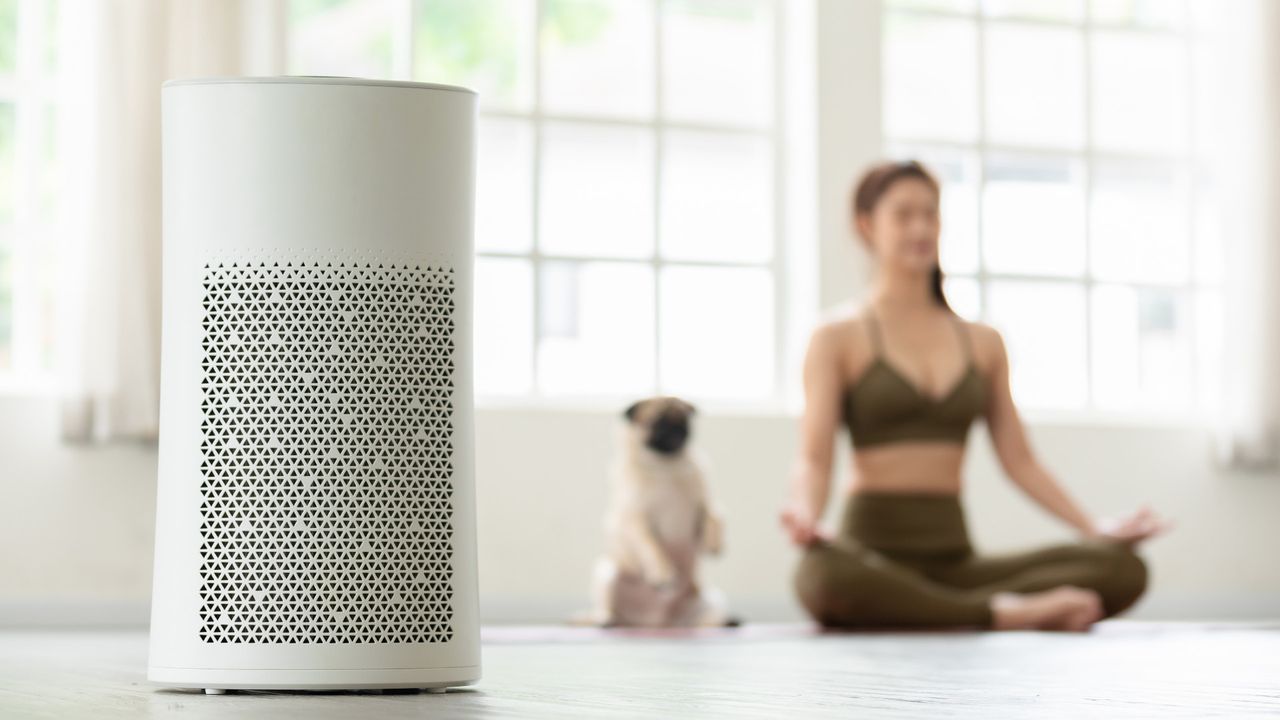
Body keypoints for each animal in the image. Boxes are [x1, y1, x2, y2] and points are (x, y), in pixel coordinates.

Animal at [588, 394, 742, 625]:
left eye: (685, 420)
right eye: (656, 421)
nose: (678, 429)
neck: (666, 468)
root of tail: (654, 622)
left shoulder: (705, 503)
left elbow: (714, 517)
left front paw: (713, 543)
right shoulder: (635, 520)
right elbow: (651, 546)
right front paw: (663, 573)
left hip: (709, 599)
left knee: (702, 620)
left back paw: (723, 622)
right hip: (607, 575)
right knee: (609, 608)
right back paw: (606, 620)